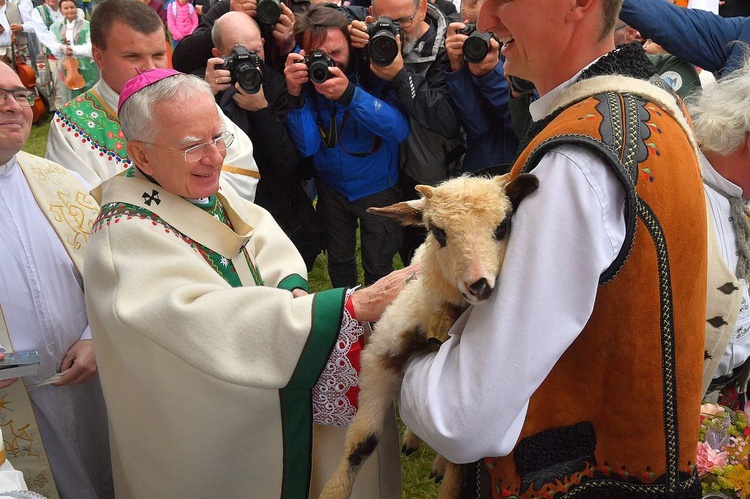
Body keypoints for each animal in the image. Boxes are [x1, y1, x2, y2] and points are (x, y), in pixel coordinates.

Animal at [318, 173, 540, 499]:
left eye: (503, 226)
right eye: (437, 231)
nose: (479, 285)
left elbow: (460, 462)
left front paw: (447, 481)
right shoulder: (380, 357)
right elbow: (363, 441)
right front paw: (334, 491)